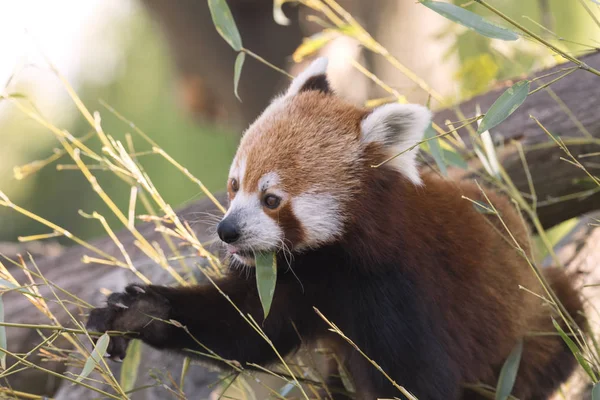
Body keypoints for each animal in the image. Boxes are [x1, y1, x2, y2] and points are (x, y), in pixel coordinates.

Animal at [86, 57, 584, 398]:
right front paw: (142, 310)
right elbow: (244, 330)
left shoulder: (403, 290)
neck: (333, 263)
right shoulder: (293, 283)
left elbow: (415, 380)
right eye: (233, 185)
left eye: (271, 200)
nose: (227, 232)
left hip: (535, 329)